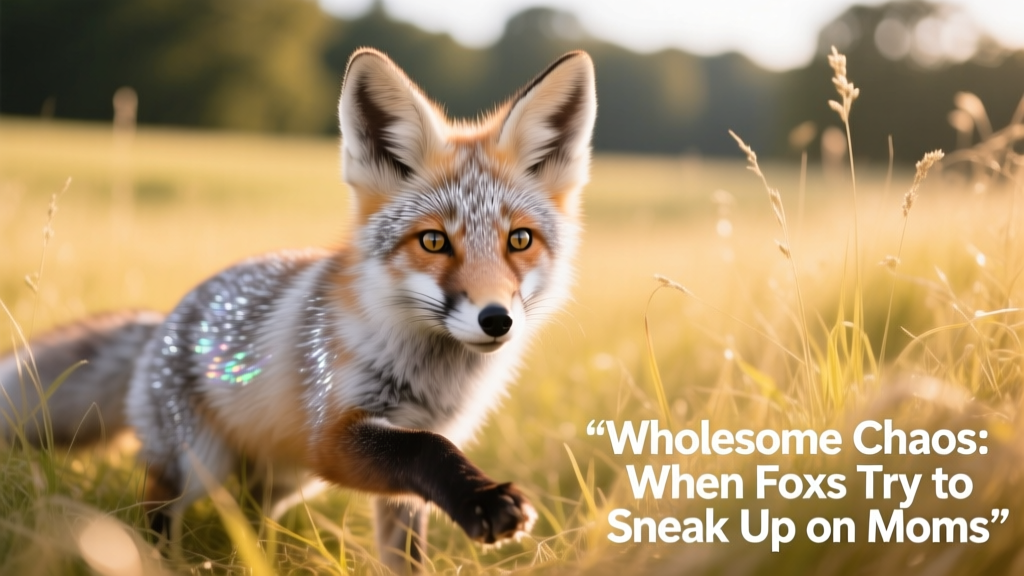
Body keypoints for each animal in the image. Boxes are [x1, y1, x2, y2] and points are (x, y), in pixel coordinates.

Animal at [0, 48, 596, 570]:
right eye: (433, 242)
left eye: (519, 240)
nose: (496, 319)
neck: (431, 377)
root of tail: (163, 321)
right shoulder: (331, 437)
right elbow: (427, 450)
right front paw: (486, 499)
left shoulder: (400, 477)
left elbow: (407, 550)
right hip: (198, 464)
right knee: (158, 511)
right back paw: (162, 563)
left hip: (281, 479)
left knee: (250, 515)